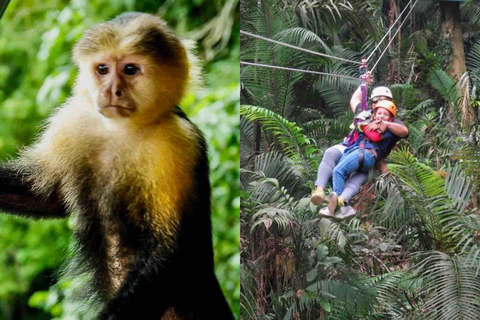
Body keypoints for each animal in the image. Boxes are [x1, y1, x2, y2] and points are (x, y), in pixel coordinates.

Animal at [0, 12, 233, 320]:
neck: (121, 130)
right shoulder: (73, 118)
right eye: (102, 69)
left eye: (130, 69)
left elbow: (171, 249)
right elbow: (47, 197)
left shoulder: (178, 142)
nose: (112, 90)